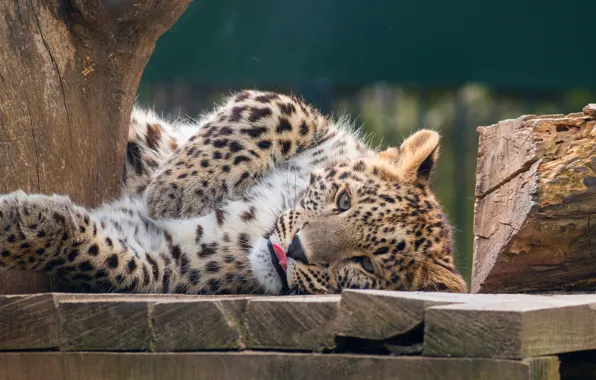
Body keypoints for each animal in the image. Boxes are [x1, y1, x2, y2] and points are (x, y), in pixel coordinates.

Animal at [0, 90, 466, 296]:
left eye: (365, 264)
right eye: (343, 200)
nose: (296, 250)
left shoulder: (170, 256)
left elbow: (109, 257)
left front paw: (16, 220)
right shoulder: (313, 125)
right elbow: (276, 111)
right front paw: (176, 187)